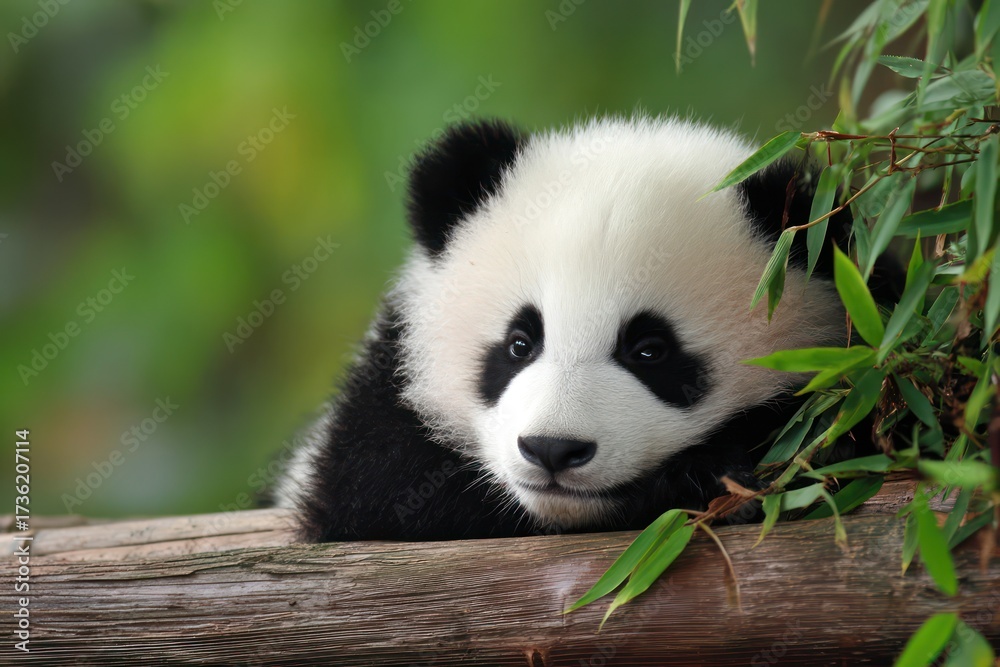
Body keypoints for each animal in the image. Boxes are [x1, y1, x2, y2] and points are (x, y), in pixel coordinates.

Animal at [274, 115, 896, 542]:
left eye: (650, 351)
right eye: (519, 344)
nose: (552, 449)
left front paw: (729, 471)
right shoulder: (383, 396)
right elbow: (382, 496)